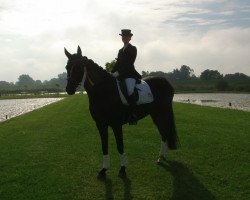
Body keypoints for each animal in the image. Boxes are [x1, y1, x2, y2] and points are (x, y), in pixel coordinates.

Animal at [64, 46, 178, 178]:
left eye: (79, 67)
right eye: (67, 67)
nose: (69, 89)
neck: (104, 92)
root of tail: (165, 81)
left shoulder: (116, 124)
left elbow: (120, 146)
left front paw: (123, 169)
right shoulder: (100, 125)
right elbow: (104, 146)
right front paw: (103, 170)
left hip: (162, 113)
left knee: (164, 132)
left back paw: (161, 157)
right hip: (155, 114)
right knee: (163, 133)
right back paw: (161, 157)